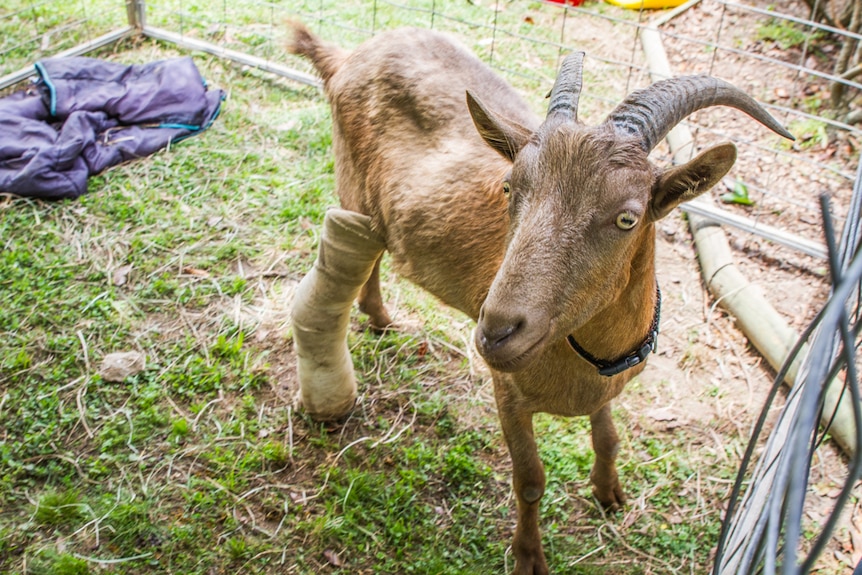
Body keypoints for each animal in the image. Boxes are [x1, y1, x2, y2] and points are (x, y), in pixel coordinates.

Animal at [292, 20, 796, 572]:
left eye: (628, 217)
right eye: (509, 188)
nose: (496, 331)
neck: (586, 358)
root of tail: (345, 57)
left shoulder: (606, 386)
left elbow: (609, 437)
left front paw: (609, 493)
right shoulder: (507, 393)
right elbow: (530, 479)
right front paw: (529, 555)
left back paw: (381, 319)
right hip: (351, 188)